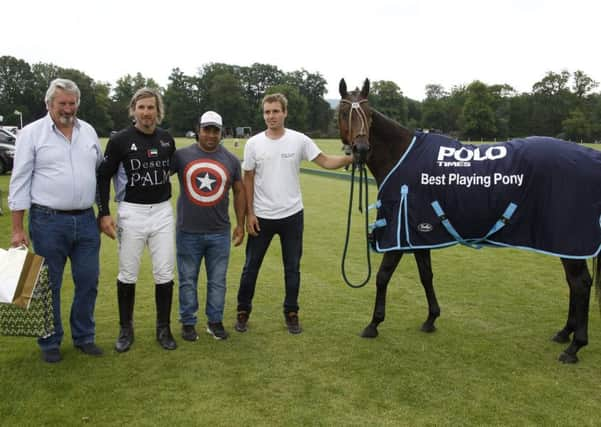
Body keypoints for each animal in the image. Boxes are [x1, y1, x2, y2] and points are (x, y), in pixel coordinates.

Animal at [338, 77, 600, 364]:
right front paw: (431, 318)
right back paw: (565, 333)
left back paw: (575, 346)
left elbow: (383, 276)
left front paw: (373, 324)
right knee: (575, 284)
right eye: (344, 111)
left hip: (568, 239)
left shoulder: (399, 234)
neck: (402, 156)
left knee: (580, 284)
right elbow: (426, 275)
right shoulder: (418, 232)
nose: (361, 149)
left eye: (369, 115)